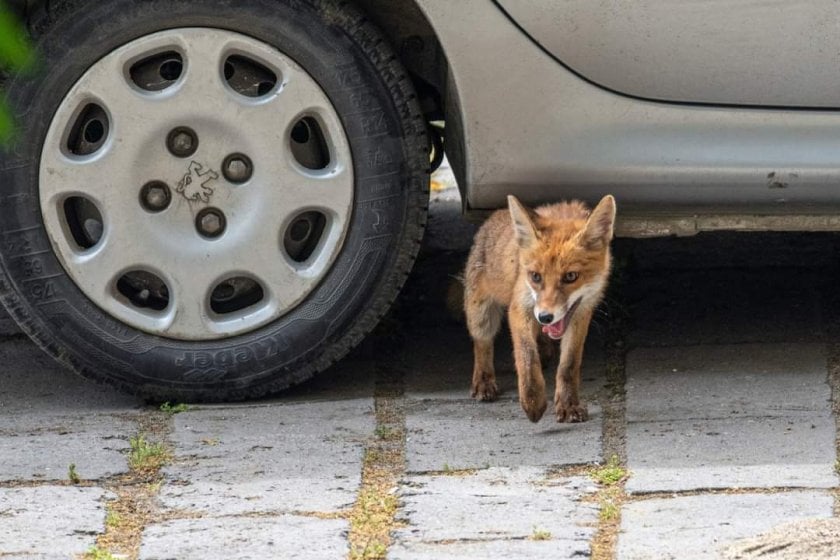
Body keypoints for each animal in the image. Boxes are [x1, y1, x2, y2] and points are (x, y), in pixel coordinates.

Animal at [462, 195, 612, 422]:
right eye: (535, 276)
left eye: (571, 276)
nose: (545, 317)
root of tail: (496, 214)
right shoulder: (520, 308)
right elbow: (526, 357)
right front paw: (533, 402)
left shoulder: (581, 313)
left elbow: (568, 365)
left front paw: (568, 404)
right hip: (480, 314)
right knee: (482, 344)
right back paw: (484, 381)